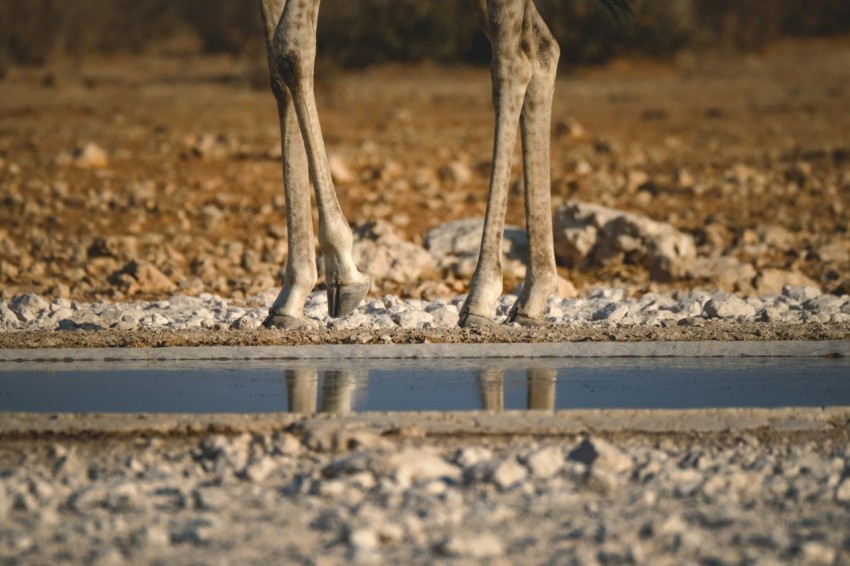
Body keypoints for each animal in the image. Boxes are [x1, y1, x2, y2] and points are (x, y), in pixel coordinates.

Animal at [257, 0, 630, 329]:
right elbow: (275, 66)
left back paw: (481, 299)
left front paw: (342, 270)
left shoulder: (295, 44)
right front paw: (291, 297)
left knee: (513, 61)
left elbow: (292, 48)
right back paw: (531, 300)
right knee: (541, 49)